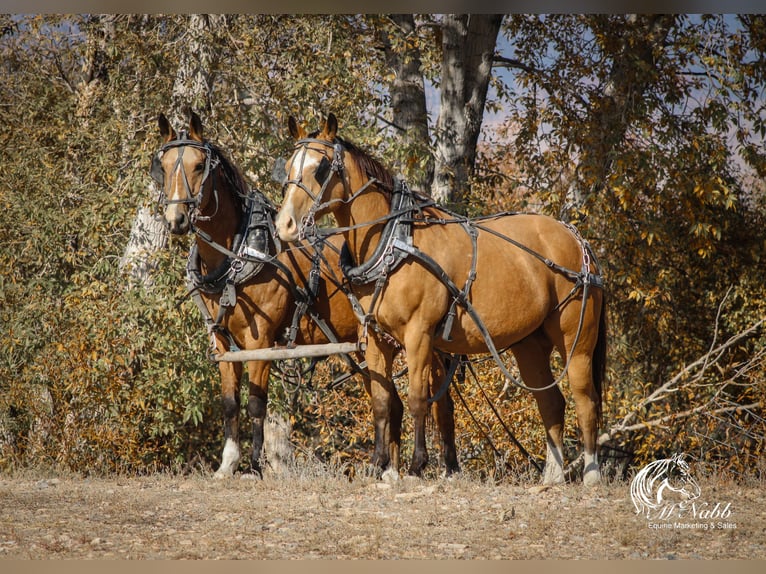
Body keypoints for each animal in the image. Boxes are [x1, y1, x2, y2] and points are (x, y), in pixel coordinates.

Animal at [153, 110, 460, 480]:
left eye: (199, 165)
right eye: (162, 166)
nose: (177, 219)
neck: (239, 254)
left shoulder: (261, 340)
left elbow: (256, 403)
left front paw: (254, 466)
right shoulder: (224, 343)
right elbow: (229, 404)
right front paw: (228, 463)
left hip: (425, 341)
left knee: (441, 402)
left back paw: (447, 467)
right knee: (395, 403)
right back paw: (392, 470)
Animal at [278, 113, 612, 486]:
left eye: (321, 168)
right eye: (288, 166)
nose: (284, 224)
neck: (394, 241)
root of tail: (577, 239)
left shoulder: (419, 335)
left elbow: (417, 399)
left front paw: (416, 465)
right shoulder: (376, 338)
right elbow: (381, 401)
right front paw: (380, 465)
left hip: (576, 340)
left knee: (585, 400)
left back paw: (591, 475)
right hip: (529, 343)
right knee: (551, 402)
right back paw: (552, 477)